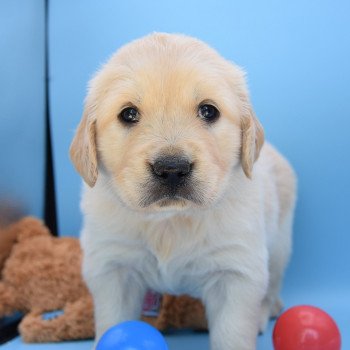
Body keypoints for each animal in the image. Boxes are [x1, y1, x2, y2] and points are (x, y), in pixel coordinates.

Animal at [70, 33, 296, 350]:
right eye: (128, 114)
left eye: (208, 111)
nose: (172, 169)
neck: (171, 221)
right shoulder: (112, 265)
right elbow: (114, 321)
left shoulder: (236, 271)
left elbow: (233, 332)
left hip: (279, 244)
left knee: (272, 283)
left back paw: (267, 310)